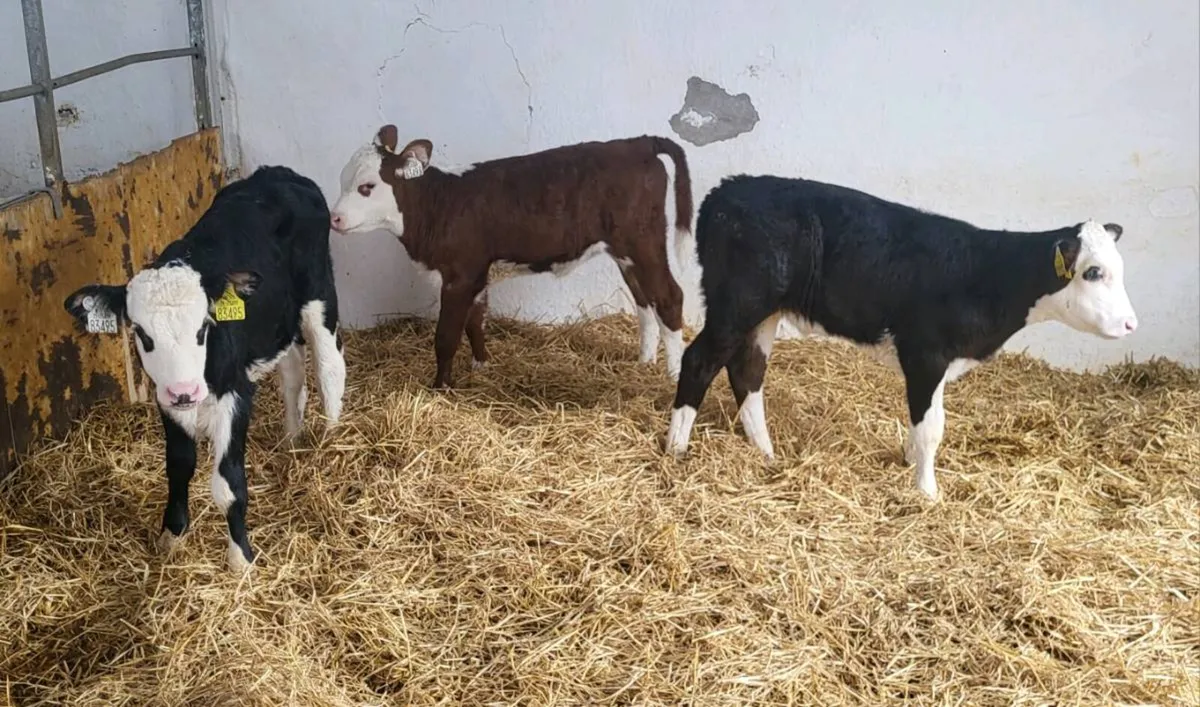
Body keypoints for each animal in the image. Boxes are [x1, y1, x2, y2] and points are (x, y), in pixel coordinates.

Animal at [63, 165, 346, 572]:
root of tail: (278, 173)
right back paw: (292, 439)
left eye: (203, 327)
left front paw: (241, 560)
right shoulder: (167, 400)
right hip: (278, 320)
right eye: (141, 333)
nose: (185, 390)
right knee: (293, 373)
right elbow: (178, 466)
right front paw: (171, 536)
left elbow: (228, 485)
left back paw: (332, 439)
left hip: (318, 293)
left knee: (329, 366)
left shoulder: (236, 394)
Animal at [329, 124, 693, 389]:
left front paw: (439, 388)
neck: (439, 204)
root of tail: (638, 143)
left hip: (643, 242)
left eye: (367, 187)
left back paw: (674, 376)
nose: (334, 218)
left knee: (670, 296)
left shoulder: (459, 274)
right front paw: (481, 365)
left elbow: (446, 335)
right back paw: (644, 361)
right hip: (626, 253)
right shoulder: (477, 273)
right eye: (342, 179)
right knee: (644, 301)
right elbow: (475, 321)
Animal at [664, 174, 1138, 500]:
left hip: (764, 313)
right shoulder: (925, 354)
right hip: (737, 303)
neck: (989, 274)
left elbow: (928, 422)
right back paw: (676, 449)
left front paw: (910, 464)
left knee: (747, 371)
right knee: (699, 361)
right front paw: (927, 492)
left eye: (1120, 269)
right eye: (1093, 272)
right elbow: (931, 429)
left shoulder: (941, 363)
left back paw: (765, 452)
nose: (1131, 324)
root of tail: (728, 189)